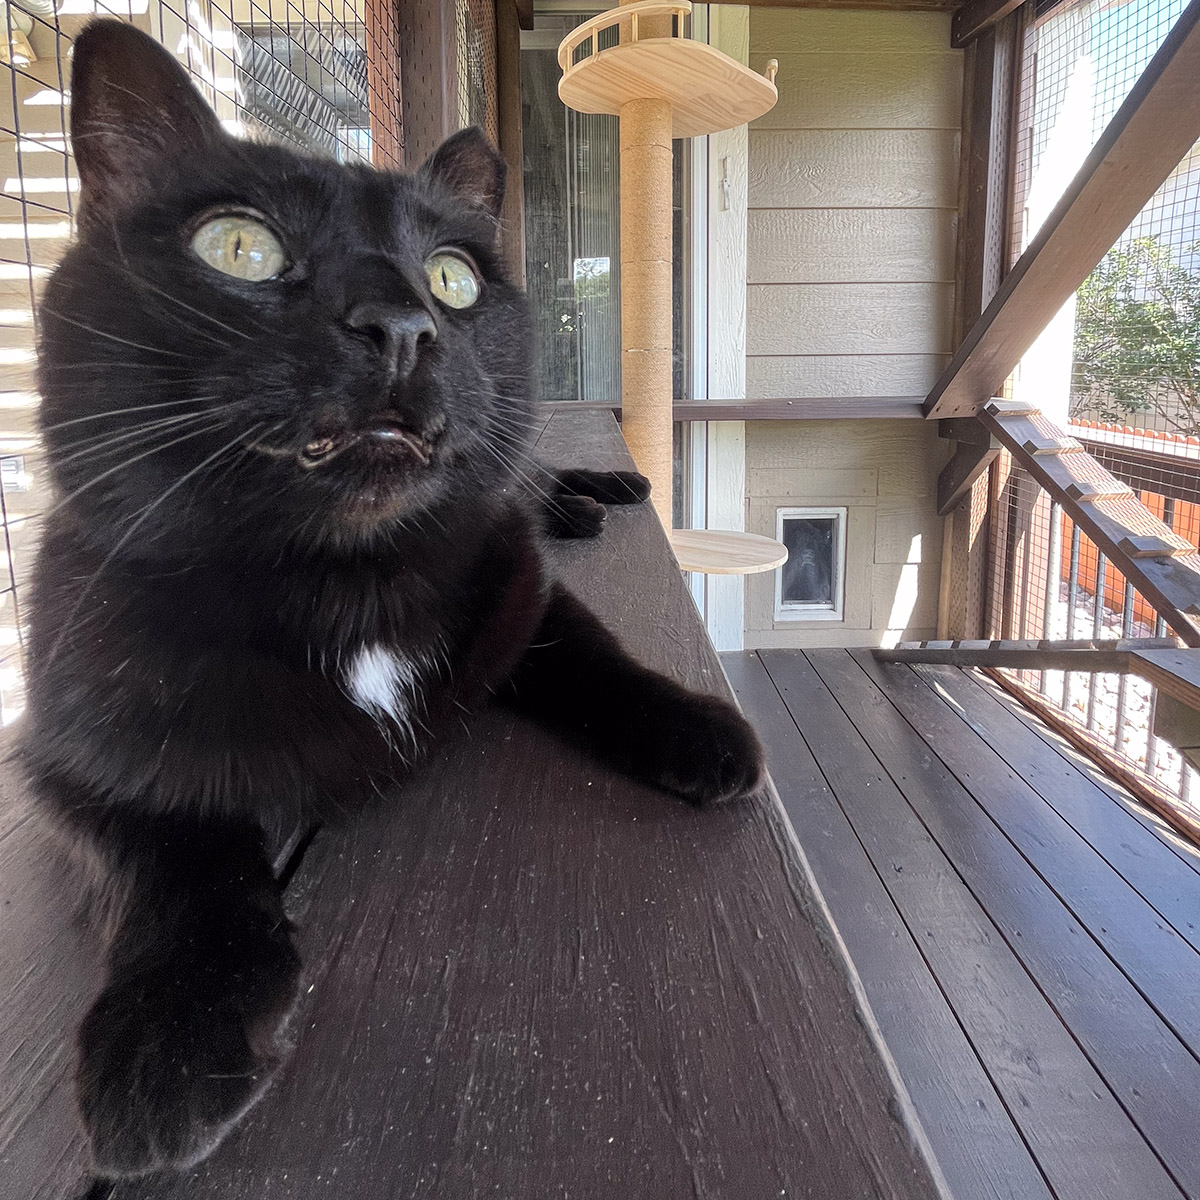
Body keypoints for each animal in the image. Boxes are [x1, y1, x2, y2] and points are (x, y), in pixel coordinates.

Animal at [23, 21, 768, 1180]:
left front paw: (698, 730)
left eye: (453, 278)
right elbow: (176, 856)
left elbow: (598, 657)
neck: (354, 583)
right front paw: (168, 1042)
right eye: (238, 248)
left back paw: (598, 495)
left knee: (530, 477)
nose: (404, 326)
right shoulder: (70, 752)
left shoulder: (515, 592)